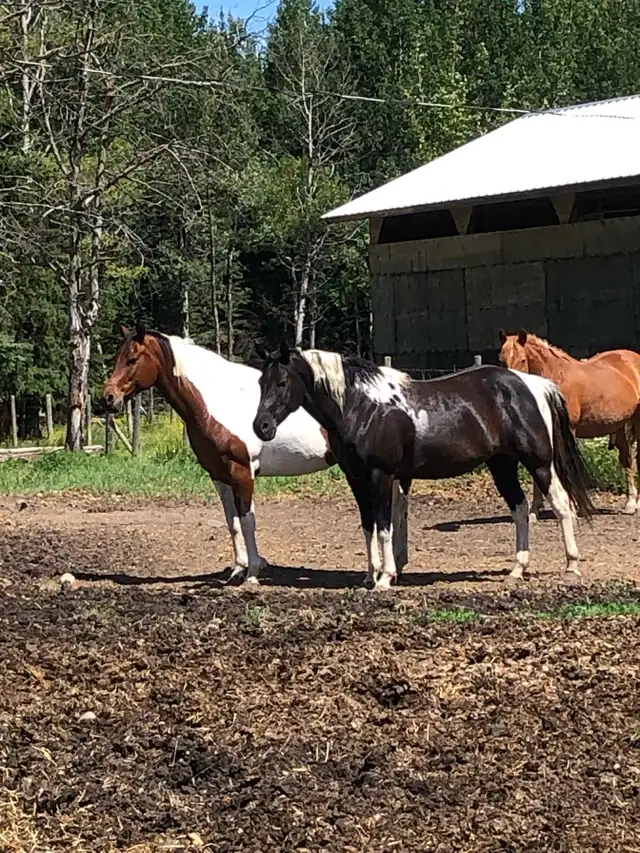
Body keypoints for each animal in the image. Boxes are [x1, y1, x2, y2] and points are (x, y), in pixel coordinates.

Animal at [102, 324, 408, 584]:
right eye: (119, 357)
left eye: (132, 359)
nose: (107, 398)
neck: (217, 400)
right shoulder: (219, 476)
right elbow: (232, 522)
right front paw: (238, 569)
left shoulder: (242, 472)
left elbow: (248, 520)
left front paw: (252, 572)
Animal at [252, 343, 594, 591]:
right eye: (260, 381)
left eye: (282, 381)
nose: (261, 426)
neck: (362, 407)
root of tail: (534, 385)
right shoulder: (356, 478)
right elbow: (368, 526)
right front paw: (369, 576)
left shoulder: (381, 475)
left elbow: (384, 525)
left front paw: (385, 578)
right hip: (502, 464)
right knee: (520, 509)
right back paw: (517, 570)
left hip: (539, 463)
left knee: (562, 505)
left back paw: (571, 567)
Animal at [499, 330, 640, 516]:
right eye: (501, 359)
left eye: (522, 359)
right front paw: (535, 510)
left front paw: (578, 507)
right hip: (620, 427)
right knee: (627, 461)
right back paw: (631, 503)